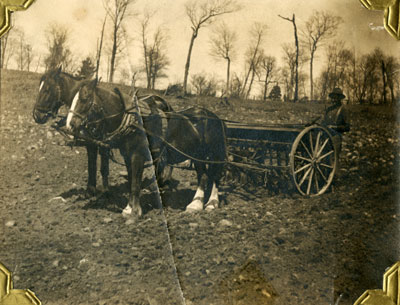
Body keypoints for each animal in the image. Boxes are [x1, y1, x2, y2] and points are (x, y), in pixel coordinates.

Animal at [67, 77, 227, 217]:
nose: (70, 125)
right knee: (203, 175)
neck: (132, 121)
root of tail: (216, 118)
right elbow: (132, 180)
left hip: (214, 154)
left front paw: (134, 212)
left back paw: (211, 203)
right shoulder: (128, 155)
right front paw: (129, 208)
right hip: (197, 154)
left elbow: (135, 182)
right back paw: (196, 204)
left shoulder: (138, 155)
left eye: (85, 99)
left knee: (214, 176)